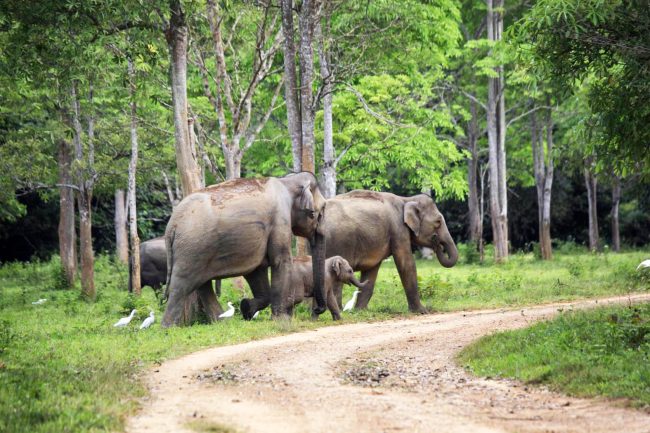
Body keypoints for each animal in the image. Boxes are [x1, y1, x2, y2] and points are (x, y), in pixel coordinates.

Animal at [160, 170, 326, 326]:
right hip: (192, 249)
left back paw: (222, 322)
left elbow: (256, 271)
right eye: (321, 211)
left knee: (202, 285)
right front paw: (280, 320)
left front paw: (246, 308)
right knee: (181, 287)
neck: (286, 181)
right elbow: (280, 261)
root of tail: (171, 226)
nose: (318, 310)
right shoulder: (280, 219)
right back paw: (168, 328)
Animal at [322, 191, 458, 312]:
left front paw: (360, 311)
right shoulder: (398, 230)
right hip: (340, 243)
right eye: (438, 222)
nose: (436, 241)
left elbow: (371, 271)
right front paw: (422, 311)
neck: (406, 199)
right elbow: (406, 263)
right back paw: (338, 310)